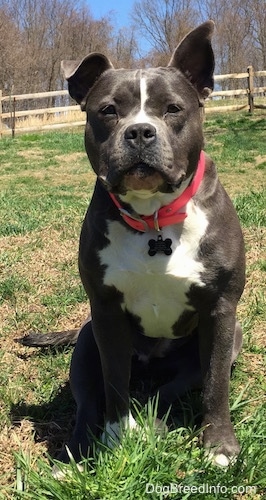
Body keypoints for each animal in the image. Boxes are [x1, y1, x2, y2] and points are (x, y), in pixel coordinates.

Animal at [22, 21, 245, 468]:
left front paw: (219, 446)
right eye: (108, 110)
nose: (140, 131)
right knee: (90, 401)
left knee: (170, 389)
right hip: (86, 340)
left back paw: (153, 419)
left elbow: (215, 384)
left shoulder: (221, 309)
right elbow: (113, 383)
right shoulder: (106, 312)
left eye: (173, 108)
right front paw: (115, 436)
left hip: (232, 335)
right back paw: (76, 453)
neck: (153, 216)